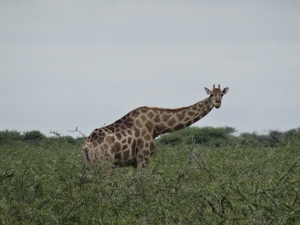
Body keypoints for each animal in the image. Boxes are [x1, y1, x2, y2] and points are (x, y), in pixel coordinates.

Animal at [81, 84, 229, 171]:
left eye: (221, 94)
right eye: (211, 94)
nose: (217, 103)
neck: (156, 124)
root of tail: (87, 146)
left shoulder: (135, 162)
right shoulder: (143, 157)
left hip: (89, 166)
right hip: (106, 164)